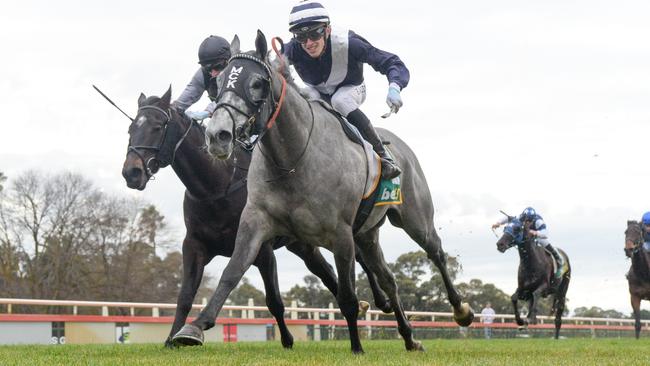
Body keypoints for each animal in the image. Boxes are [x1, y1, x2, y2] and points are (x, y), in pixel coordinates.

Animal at [121, 87, 370, 348]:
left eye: (158, 127)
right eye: (131, 129)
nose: (131, 172)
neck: (215, 189)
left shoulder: (263, 248)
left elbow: (274, 301)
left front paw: (287, 340)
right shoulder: (194, 245)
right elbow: (185, 296)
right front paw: (172, 339)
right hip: (301, 244)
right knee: (326, 271)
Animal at [175, 31, 474, 354]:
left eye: (257, 83)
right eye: (218, 83)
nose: (217, 136)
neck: (292, 160)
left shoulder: (340, 234)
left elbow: (347, 296)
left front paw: (356, 348)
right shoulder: (256, 223)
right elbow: (232, 272)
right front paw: (193, 327)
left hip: (414, 218)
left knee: (437, 252)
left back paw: (461, 310)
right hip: (367, 235)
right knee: (389, 278)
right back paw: (409, 337)